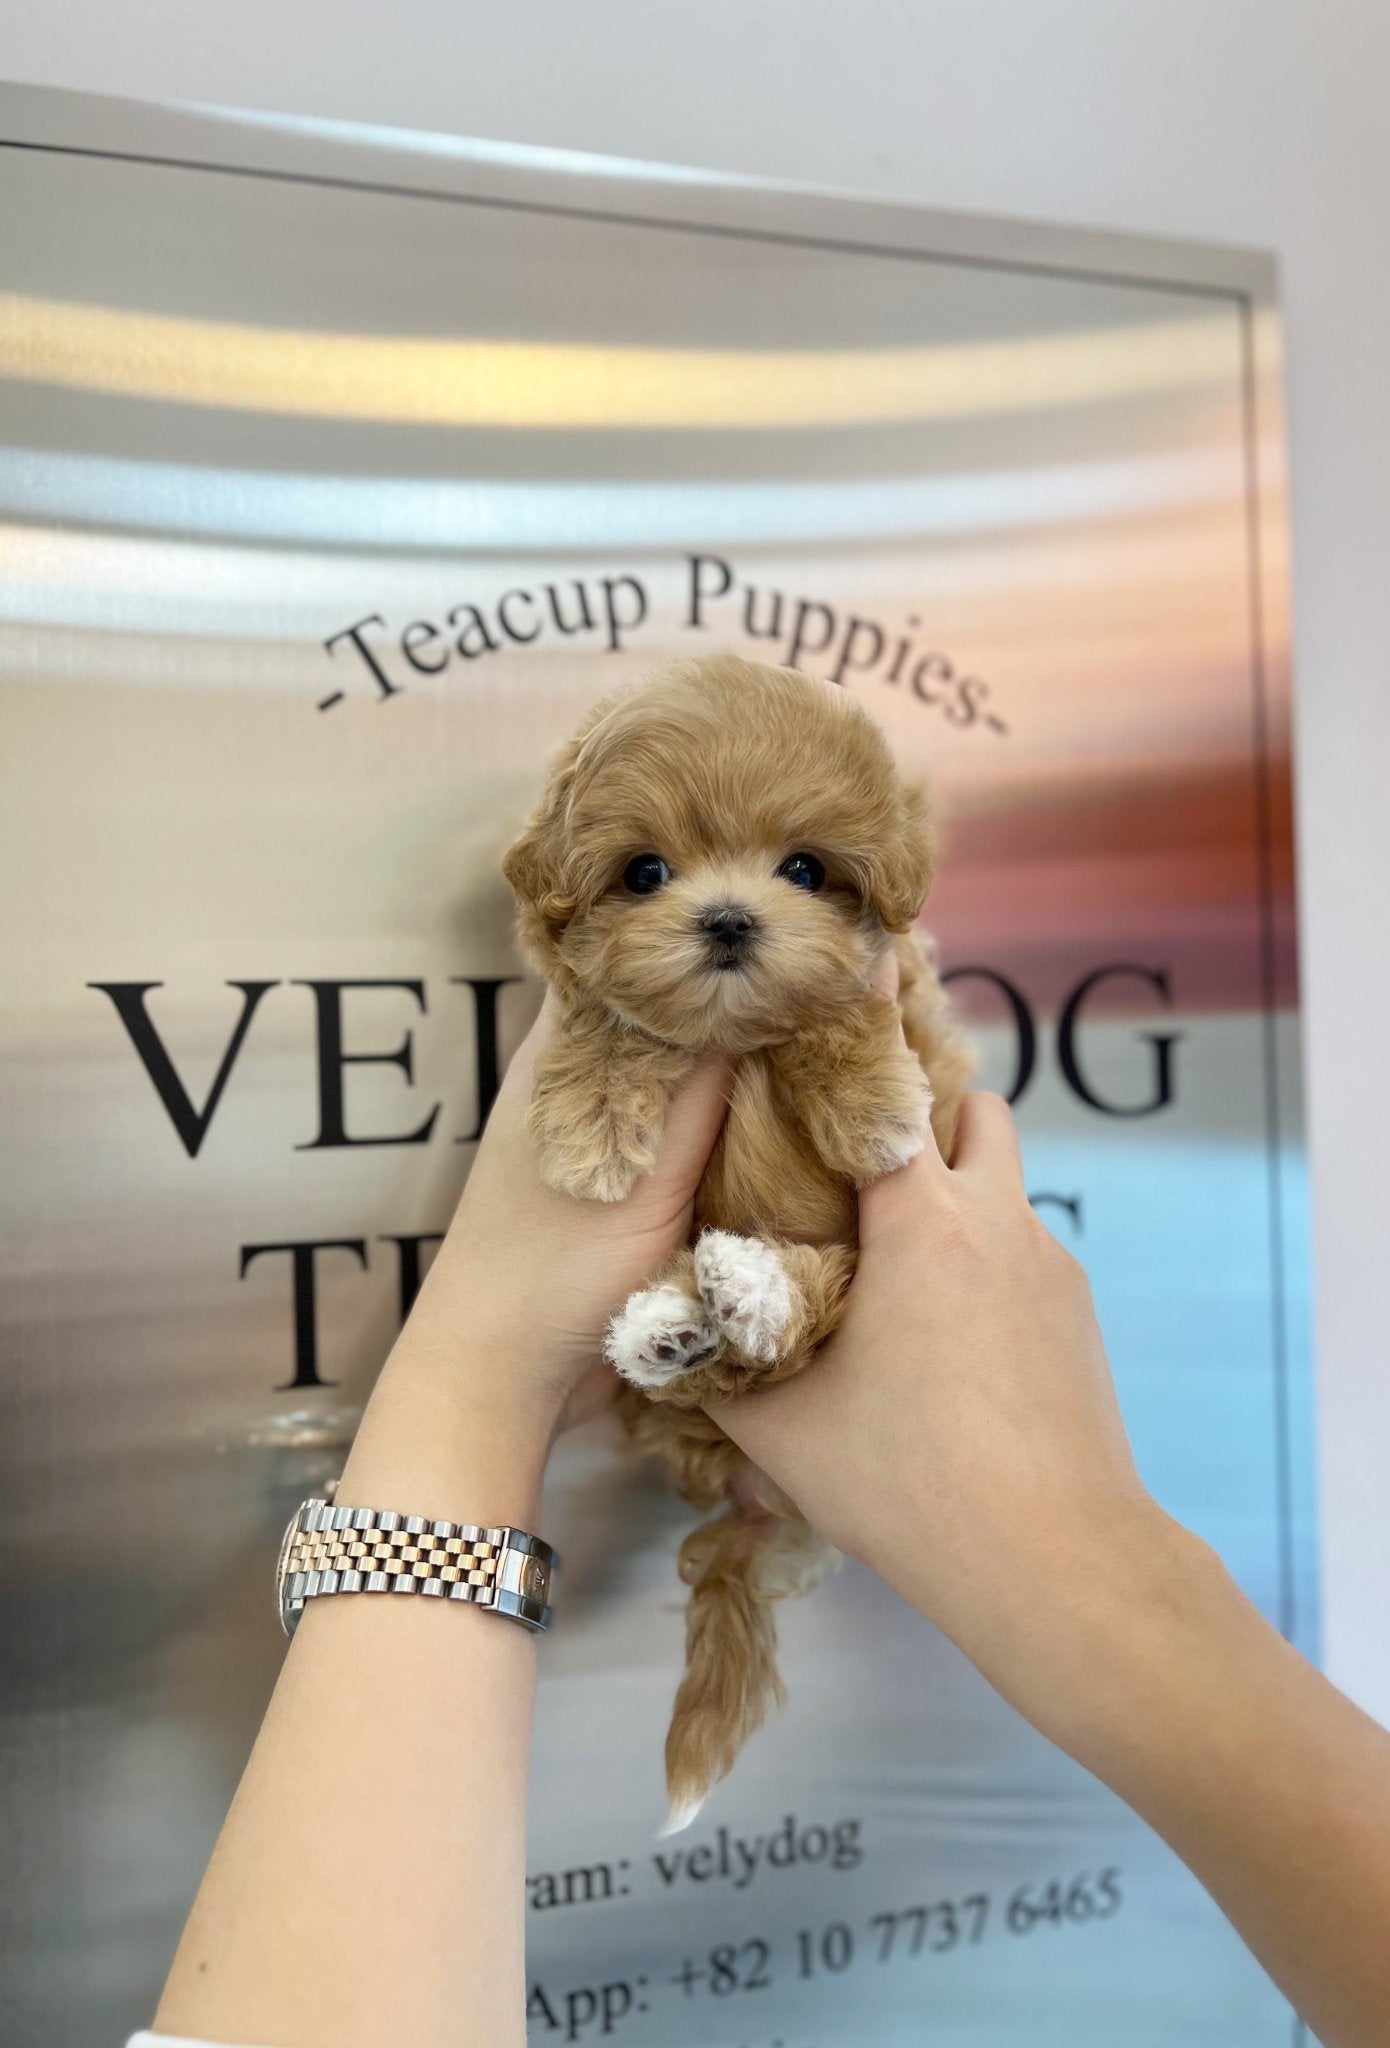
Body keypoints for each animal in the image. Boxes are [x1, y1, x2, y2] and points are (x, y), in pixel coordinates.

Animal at [505, 651, 974, 1826]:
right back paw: (672, 1327)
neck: (737, 1039)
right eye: (644, 871)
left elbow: (849, 1010)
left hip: (841, 1283)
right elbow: (610, 1018)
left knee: (792, 1326)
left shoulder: (908, 1013)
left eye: (804, 869)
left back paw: (747, 1292)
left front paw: (869, 1105)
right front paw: (590, 1123)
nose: (725, 919)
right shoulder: (598, 998)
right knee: (707, 1372)